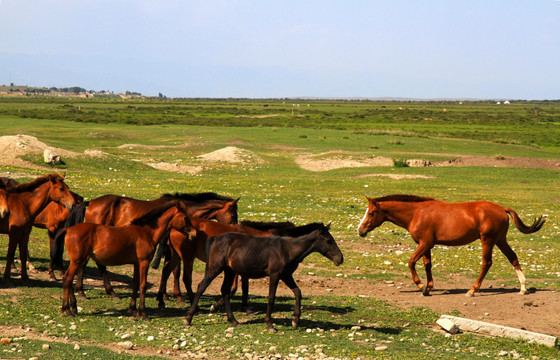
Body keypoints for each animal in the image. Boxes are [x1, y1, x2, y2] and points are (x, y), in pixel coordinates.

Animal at [57, 191, 238, 298]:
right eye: (233, 213)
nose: (234, 228)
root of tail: (92, 202)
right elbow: (176, 270)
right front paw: (176, 296)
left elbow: (171, 270)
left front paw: (168, 295)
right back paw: (87, 291)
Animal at [57, 202, 197, 318]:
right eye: (185, 218)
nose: (194, 234)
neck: (146, 233)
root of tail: (68, 229)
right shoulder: (144, 262)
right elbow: (143, 285)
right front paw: (143, 313)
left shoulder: (136, 264)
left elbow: (135, 284)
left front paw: (133, 309)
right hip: (77, 261)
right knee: (68, 279)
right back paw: (67, 310)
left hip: (78, 261)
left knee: (68, 279)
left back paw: (73, 308)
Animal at [186, 224, 344, 334]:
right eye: (329, 241)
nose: (340, 259)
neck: (288, 250)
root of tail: (214, 239)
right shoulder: (275, 275)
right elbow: (271, 297)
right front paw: (270, 325)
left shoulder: (286, 276)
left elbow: (298, 292)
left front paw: (295, 321)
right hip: (215, 268)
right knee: (201, 286)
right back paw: (189, 318)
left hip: (229, 271)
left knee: (224, 290)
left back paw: (234, 321)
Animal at [356, 195, 544, 296]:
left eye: (371, 213)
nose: (360, 230)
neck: (417, 213)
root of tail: (502, 208)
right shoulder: (427, 245)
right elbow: (427, 265)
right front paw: (429, 287)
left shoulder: (424, 243)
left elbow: (411, 262)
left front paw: (421, 285)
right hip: (500, 240)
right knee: (513, 257)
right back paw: (523, 288)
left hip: (488, 241)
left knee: (487, 263)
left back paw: (472, 290)